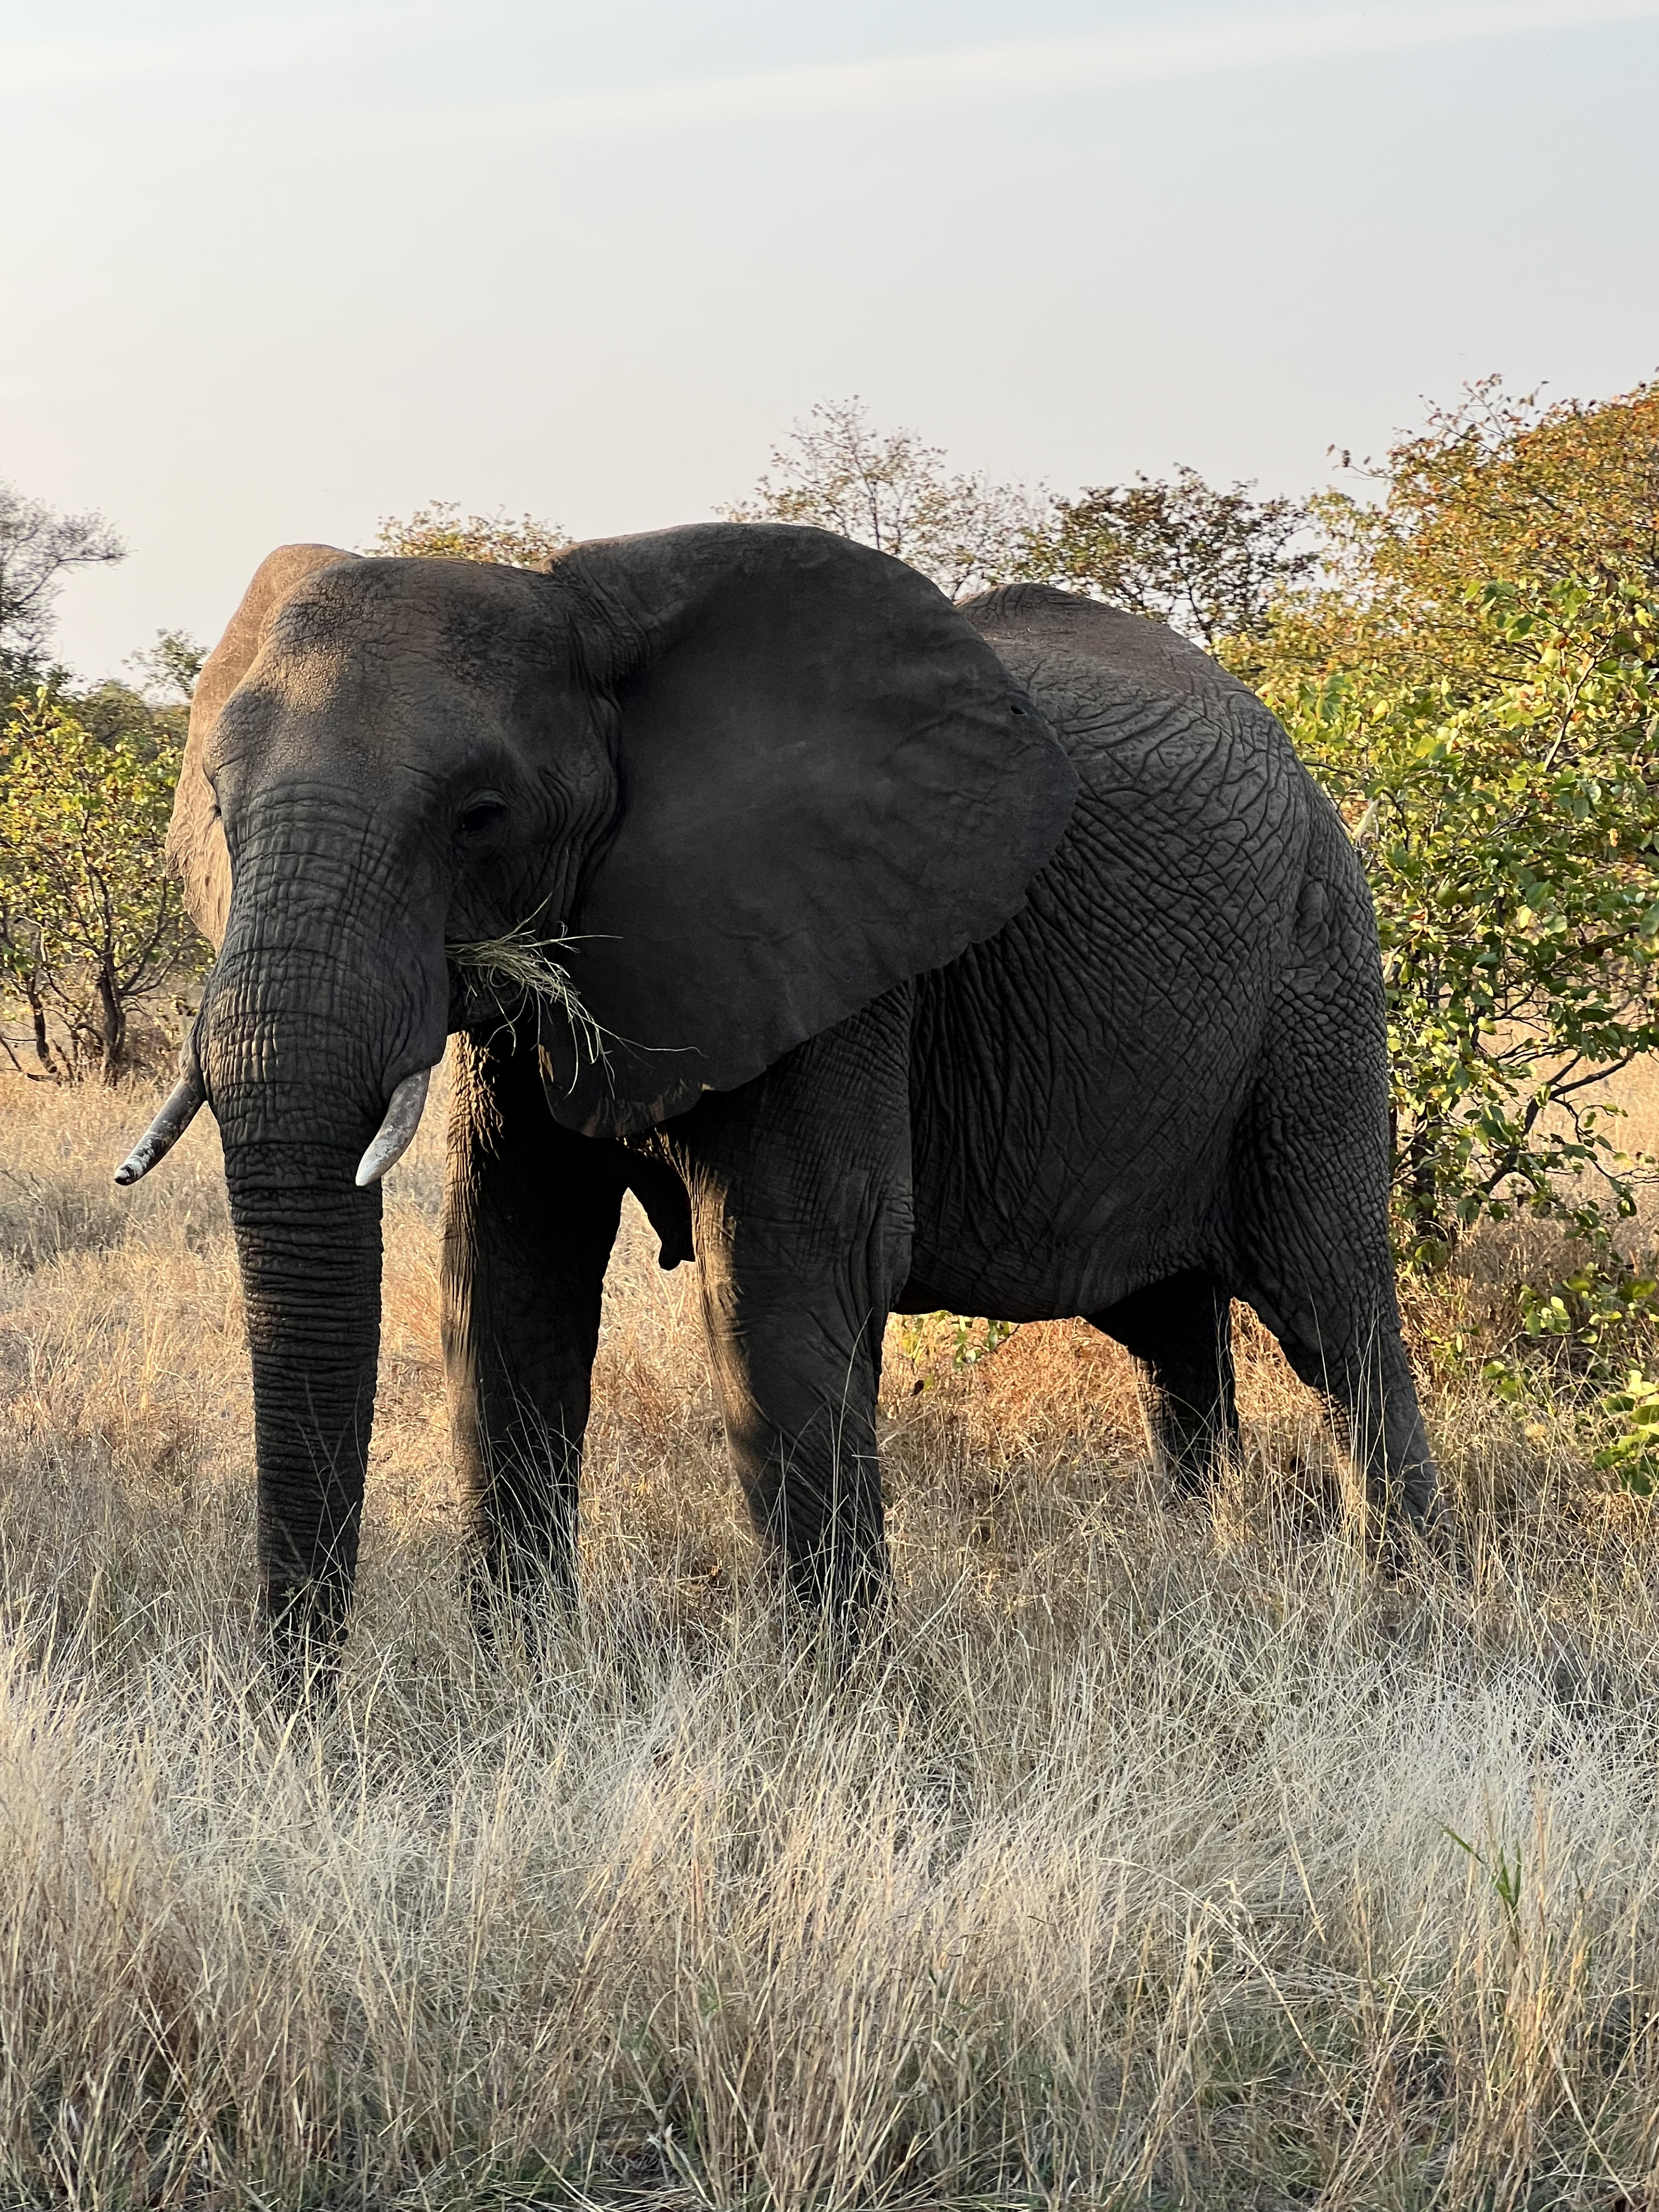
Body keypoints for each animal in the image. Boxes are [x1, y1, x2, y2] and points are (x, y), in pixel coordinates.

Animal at [117, 522, 1441, 1663]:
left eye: (479, 817)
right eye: (220, 811)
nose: (299, 1703)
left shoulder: (832, 944)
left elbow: (784, 1273)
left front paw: (834, 1702)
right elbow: (506, 1271)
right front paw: (522, 1685)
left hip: (1318, 977)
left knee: (1332, 1310)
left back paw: (1404, 1622)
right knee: (1174, 1333)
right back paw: (1194, 1568)